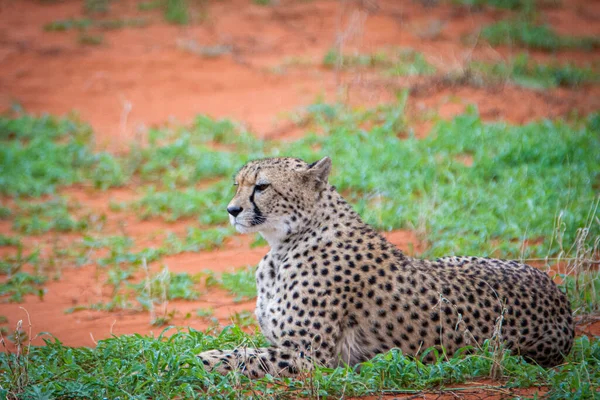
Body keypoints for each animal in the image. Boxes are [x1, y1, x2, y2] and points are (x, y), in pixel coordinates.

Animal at [199, 157, 576, 378]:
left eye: (261, 186)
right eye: (237, 184)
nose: (232, 209)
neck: (284, 245)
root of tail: (562, 301)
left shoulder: (311, 356)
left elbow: (238, 356)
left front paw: (197, 359)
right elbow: (242, 347)